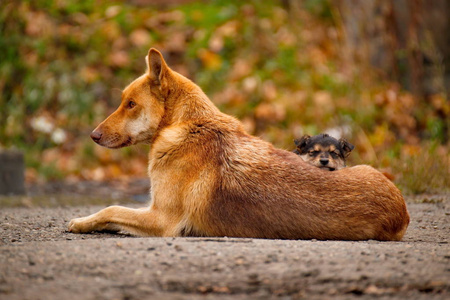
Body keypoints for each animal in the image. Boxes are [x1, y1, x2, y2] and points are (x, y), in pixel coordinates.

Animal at [68, 49, 410, 241]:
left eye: (130, 104)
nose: (93, 136)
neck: (188, 126)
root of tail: (403, 213)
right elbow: (113, 214)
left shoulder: (162, 220)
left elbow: (111, 208)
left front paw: (80, 222)